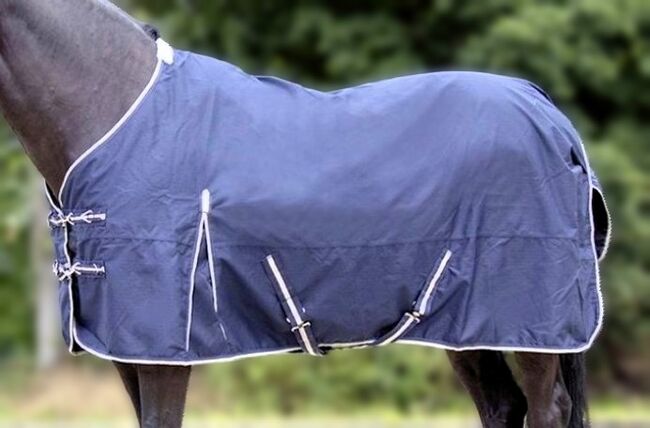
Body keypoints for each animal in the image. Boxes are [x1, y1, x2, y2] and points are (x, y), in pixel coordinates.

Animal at [1, 1, 608, 426]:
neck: (120, 116)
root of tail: (549, 112)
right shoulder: (127, 349)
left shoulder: (163, 354)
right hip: (461, 324)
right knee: (503, 406)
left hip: (530, 325)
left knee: (547, 407)